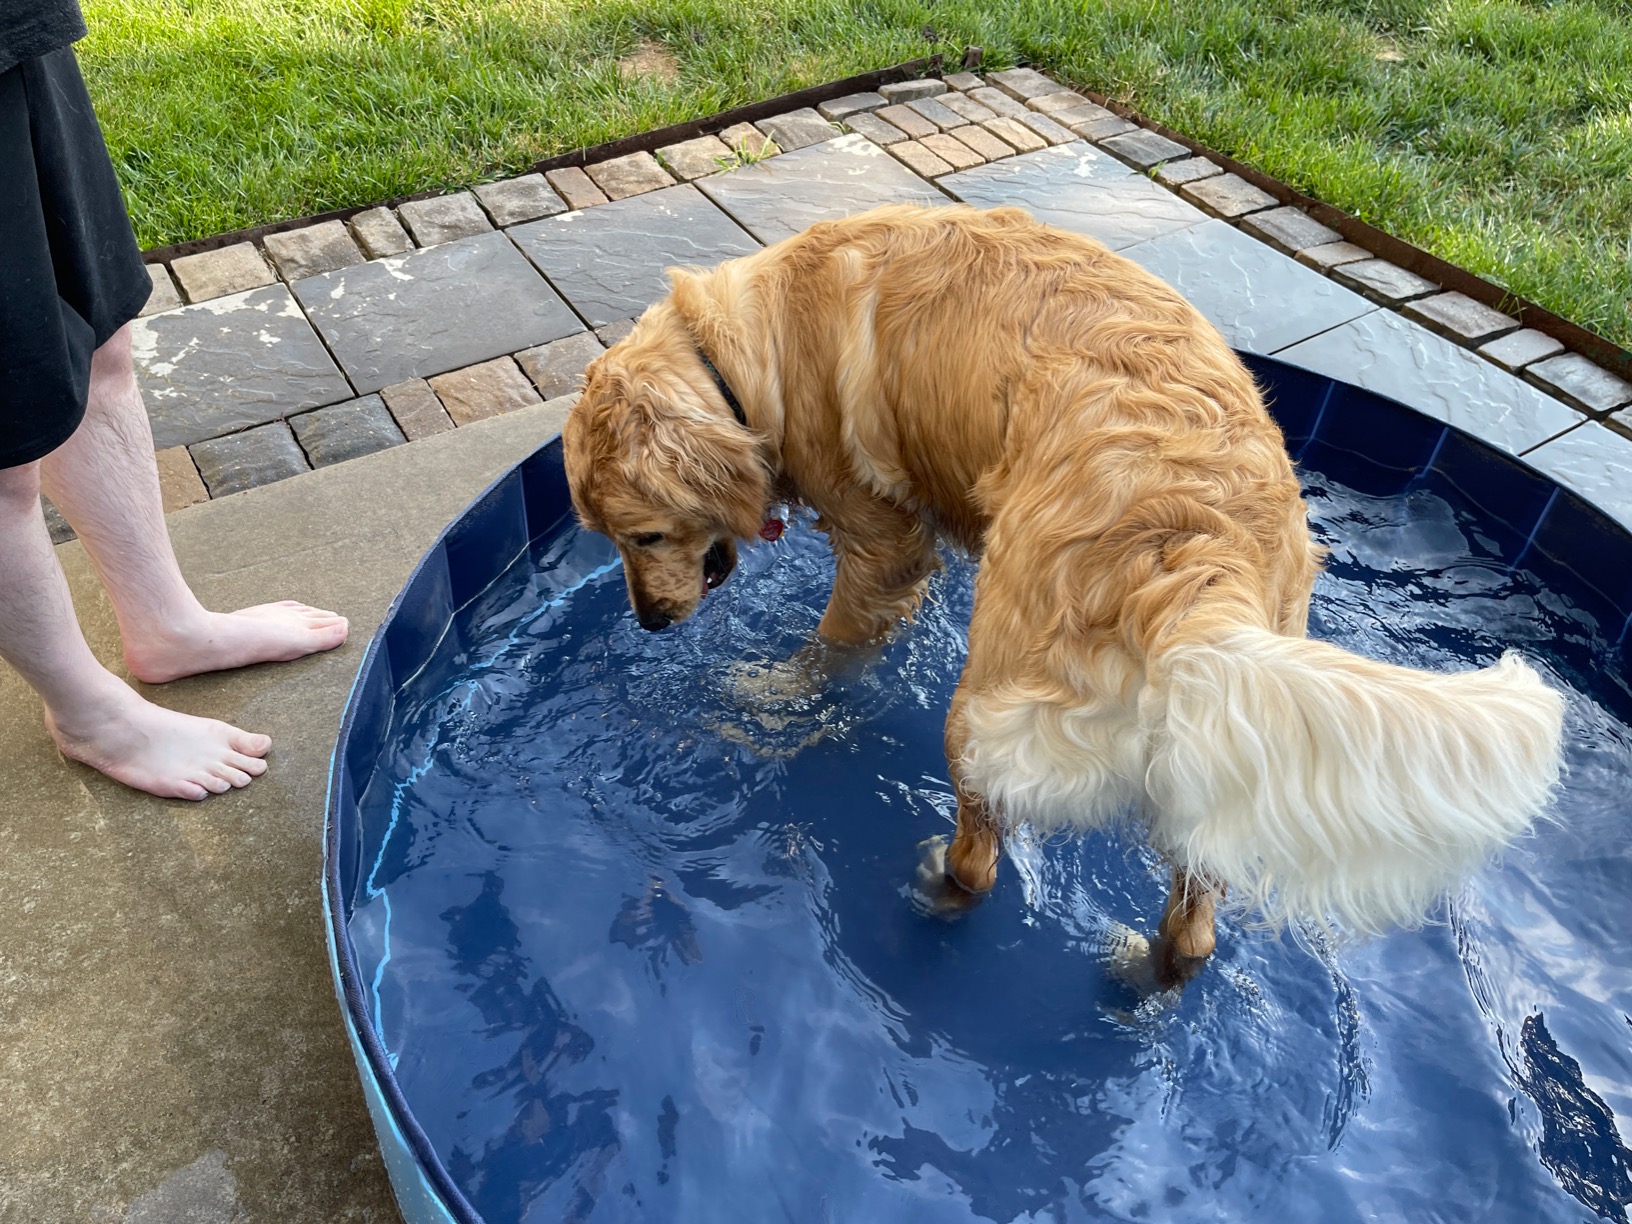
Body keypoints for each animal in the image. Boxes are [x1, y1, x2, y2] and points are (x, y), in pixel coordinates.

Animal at [564, 206, 1566, 992]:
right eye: (610, 539)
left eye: (641, 537)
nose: (649, 621)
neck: (738, 356)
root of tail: (1195, 556)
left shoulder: (881, 542)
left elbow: (833, 646)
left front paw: (776, 694)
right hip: (1204, 755)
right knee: (1195, 925)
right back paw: (1145, 975)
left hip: (986, 710)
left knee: (982, 860)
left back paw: (933, 890)